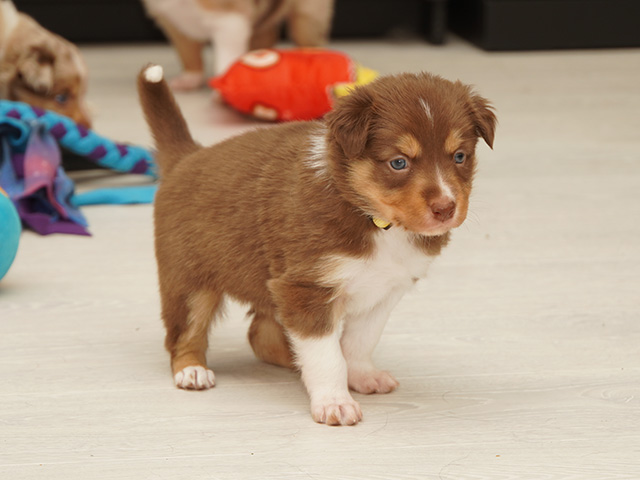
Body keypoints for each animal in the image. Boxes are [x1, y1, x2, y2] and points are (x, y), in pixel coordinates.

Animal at [138, 64, 496, 425]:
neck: (372, 217)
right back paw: (192, 371)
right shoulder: (306, 289)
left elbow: (360, 342)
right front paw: (335, 403)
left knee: (261, 334)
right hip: (188, 280)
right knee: (185, 333)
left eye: (460, 156)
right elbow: (327, 356)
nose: (446, 208)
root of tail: (188, 155)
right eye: (399, 162)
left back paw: (294, 363)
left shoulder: (384, 290)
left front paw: (363, 376)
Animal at [141, 0, 334, 90]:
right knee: (267, 33)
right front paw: (189, 79)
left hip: (307, 17)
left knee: (308, 38)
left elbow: (224, 62)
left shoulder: (229, 21)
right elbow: (188, 55)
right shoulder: (175, 26)